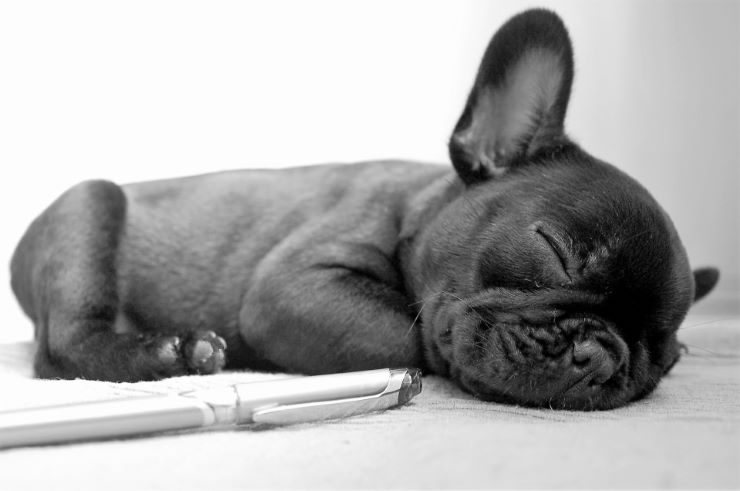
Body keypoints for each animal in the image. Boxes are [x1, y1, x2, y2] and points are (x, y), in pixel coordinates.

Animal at [10, 10, 716, 412]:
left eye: (667, 351)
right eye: (555, 252)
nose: (602, 354)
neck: (418, 213)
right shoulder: (297, 285)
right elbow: (410, 335)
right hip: (90, 206)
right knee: (61, 349)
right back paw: (171, 352)